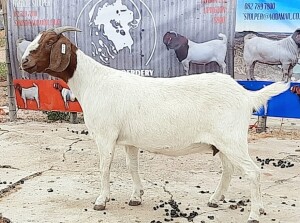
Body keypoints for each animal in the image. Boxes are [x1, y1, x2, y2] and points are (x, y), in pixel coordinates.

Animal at [20, 26, 288, 223]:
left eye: (49, 43)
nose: (24, 62)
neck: (93, 82)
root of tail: (246, 95)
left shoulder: (106, 135)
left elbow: (104, 168)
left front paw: (101, 201)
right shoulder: (128, 140)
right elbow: (132, 167)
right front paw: (136, 197)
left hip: (232, 139)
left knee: (253, 171)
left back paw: (254, 214)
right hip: (222, 142)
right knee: (229, 169)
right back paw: (217, 199)